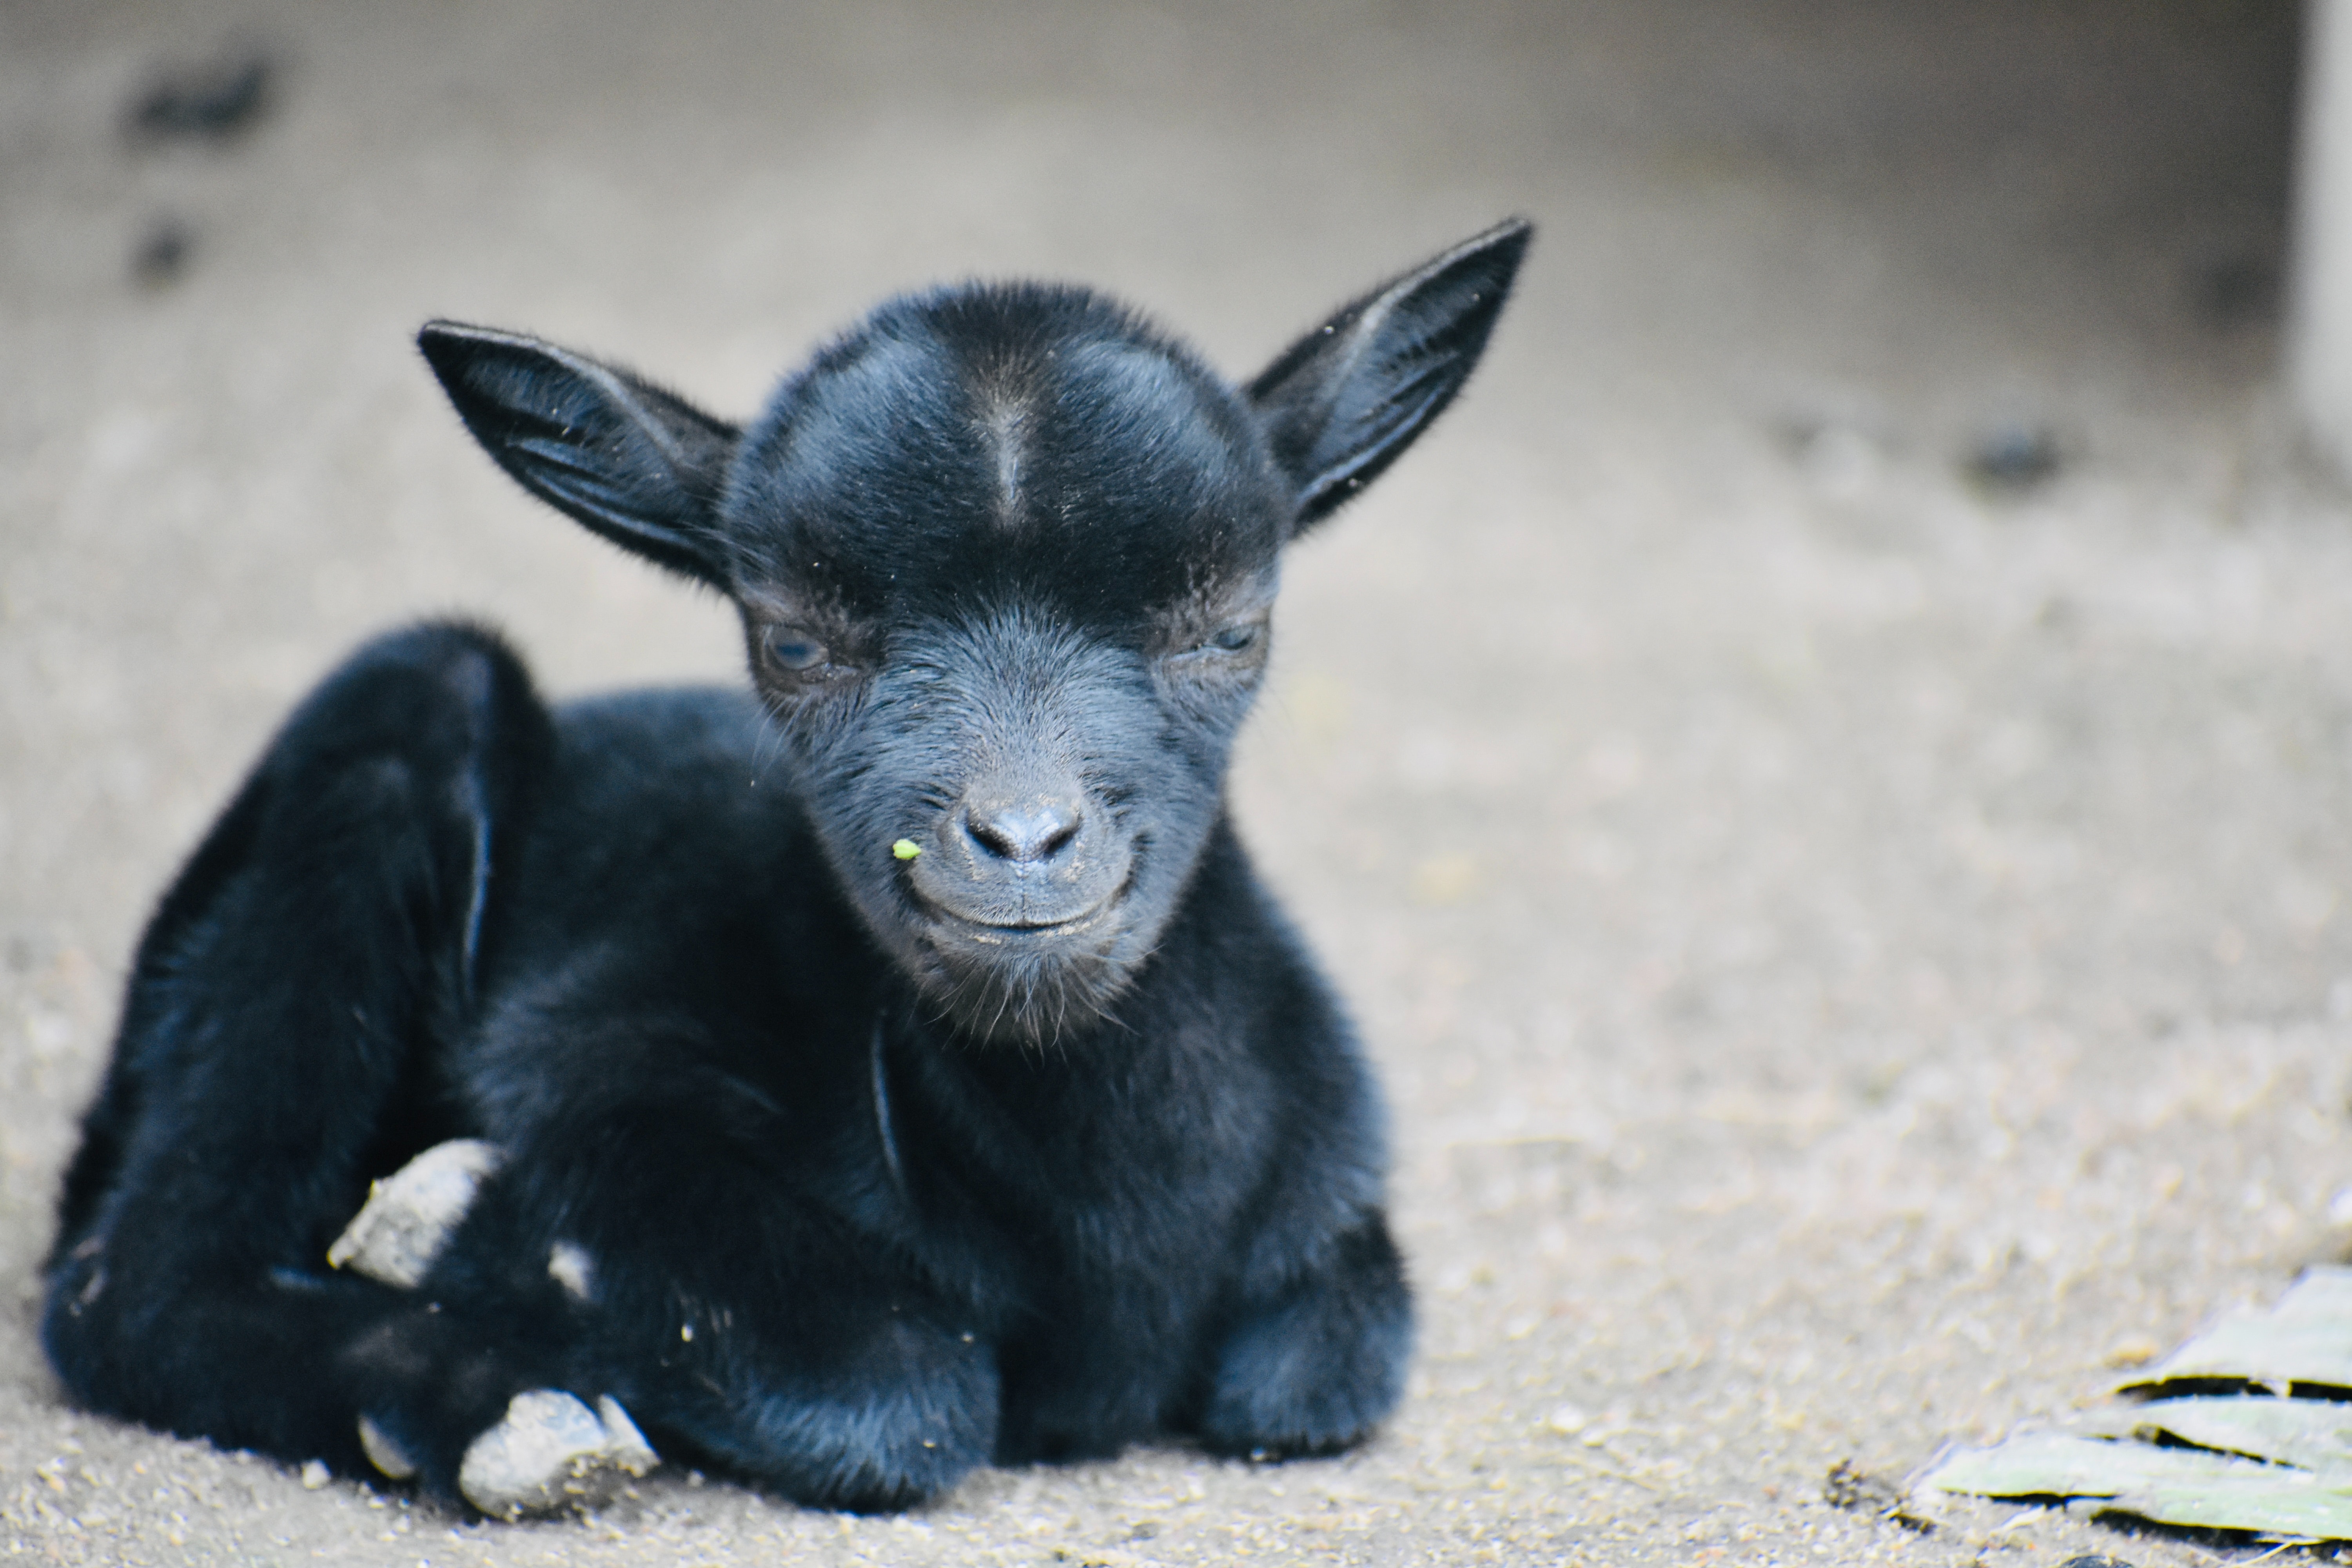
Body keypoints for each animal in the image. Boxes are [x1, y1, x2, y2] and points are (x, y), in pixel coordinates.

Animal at [42, 219, 1531, 1516]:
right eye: (793, 640)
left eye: (1232, 628)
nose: (1022, 842)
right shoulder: (594, 1048)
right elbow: (896, 1390)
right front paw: (480, 1234)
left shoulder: (1334, 1217)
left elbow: (1319, 1368)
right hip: (395, 722)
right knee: (127, 1280)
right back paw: (500, 1405)